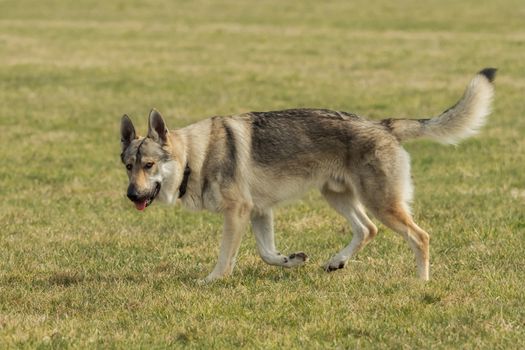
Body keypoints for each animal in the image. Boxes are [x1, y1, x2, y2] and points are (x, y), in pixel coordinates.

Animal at [118, 67, 496, 282]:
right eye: (128, 166)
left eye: (149, 165)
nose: (132, 195)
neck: (196, 157)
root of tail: (383, 125)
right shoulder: (259, 212)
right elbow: (267, 253)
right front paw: (292, 260)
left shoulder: (238, 213)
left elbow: (226, 258)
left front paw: (210, 282)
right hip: (338, 197)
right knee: (367, 230)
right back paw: (336, 262)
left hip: (381, 205)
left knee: (421, 237)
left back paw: (421, 284)